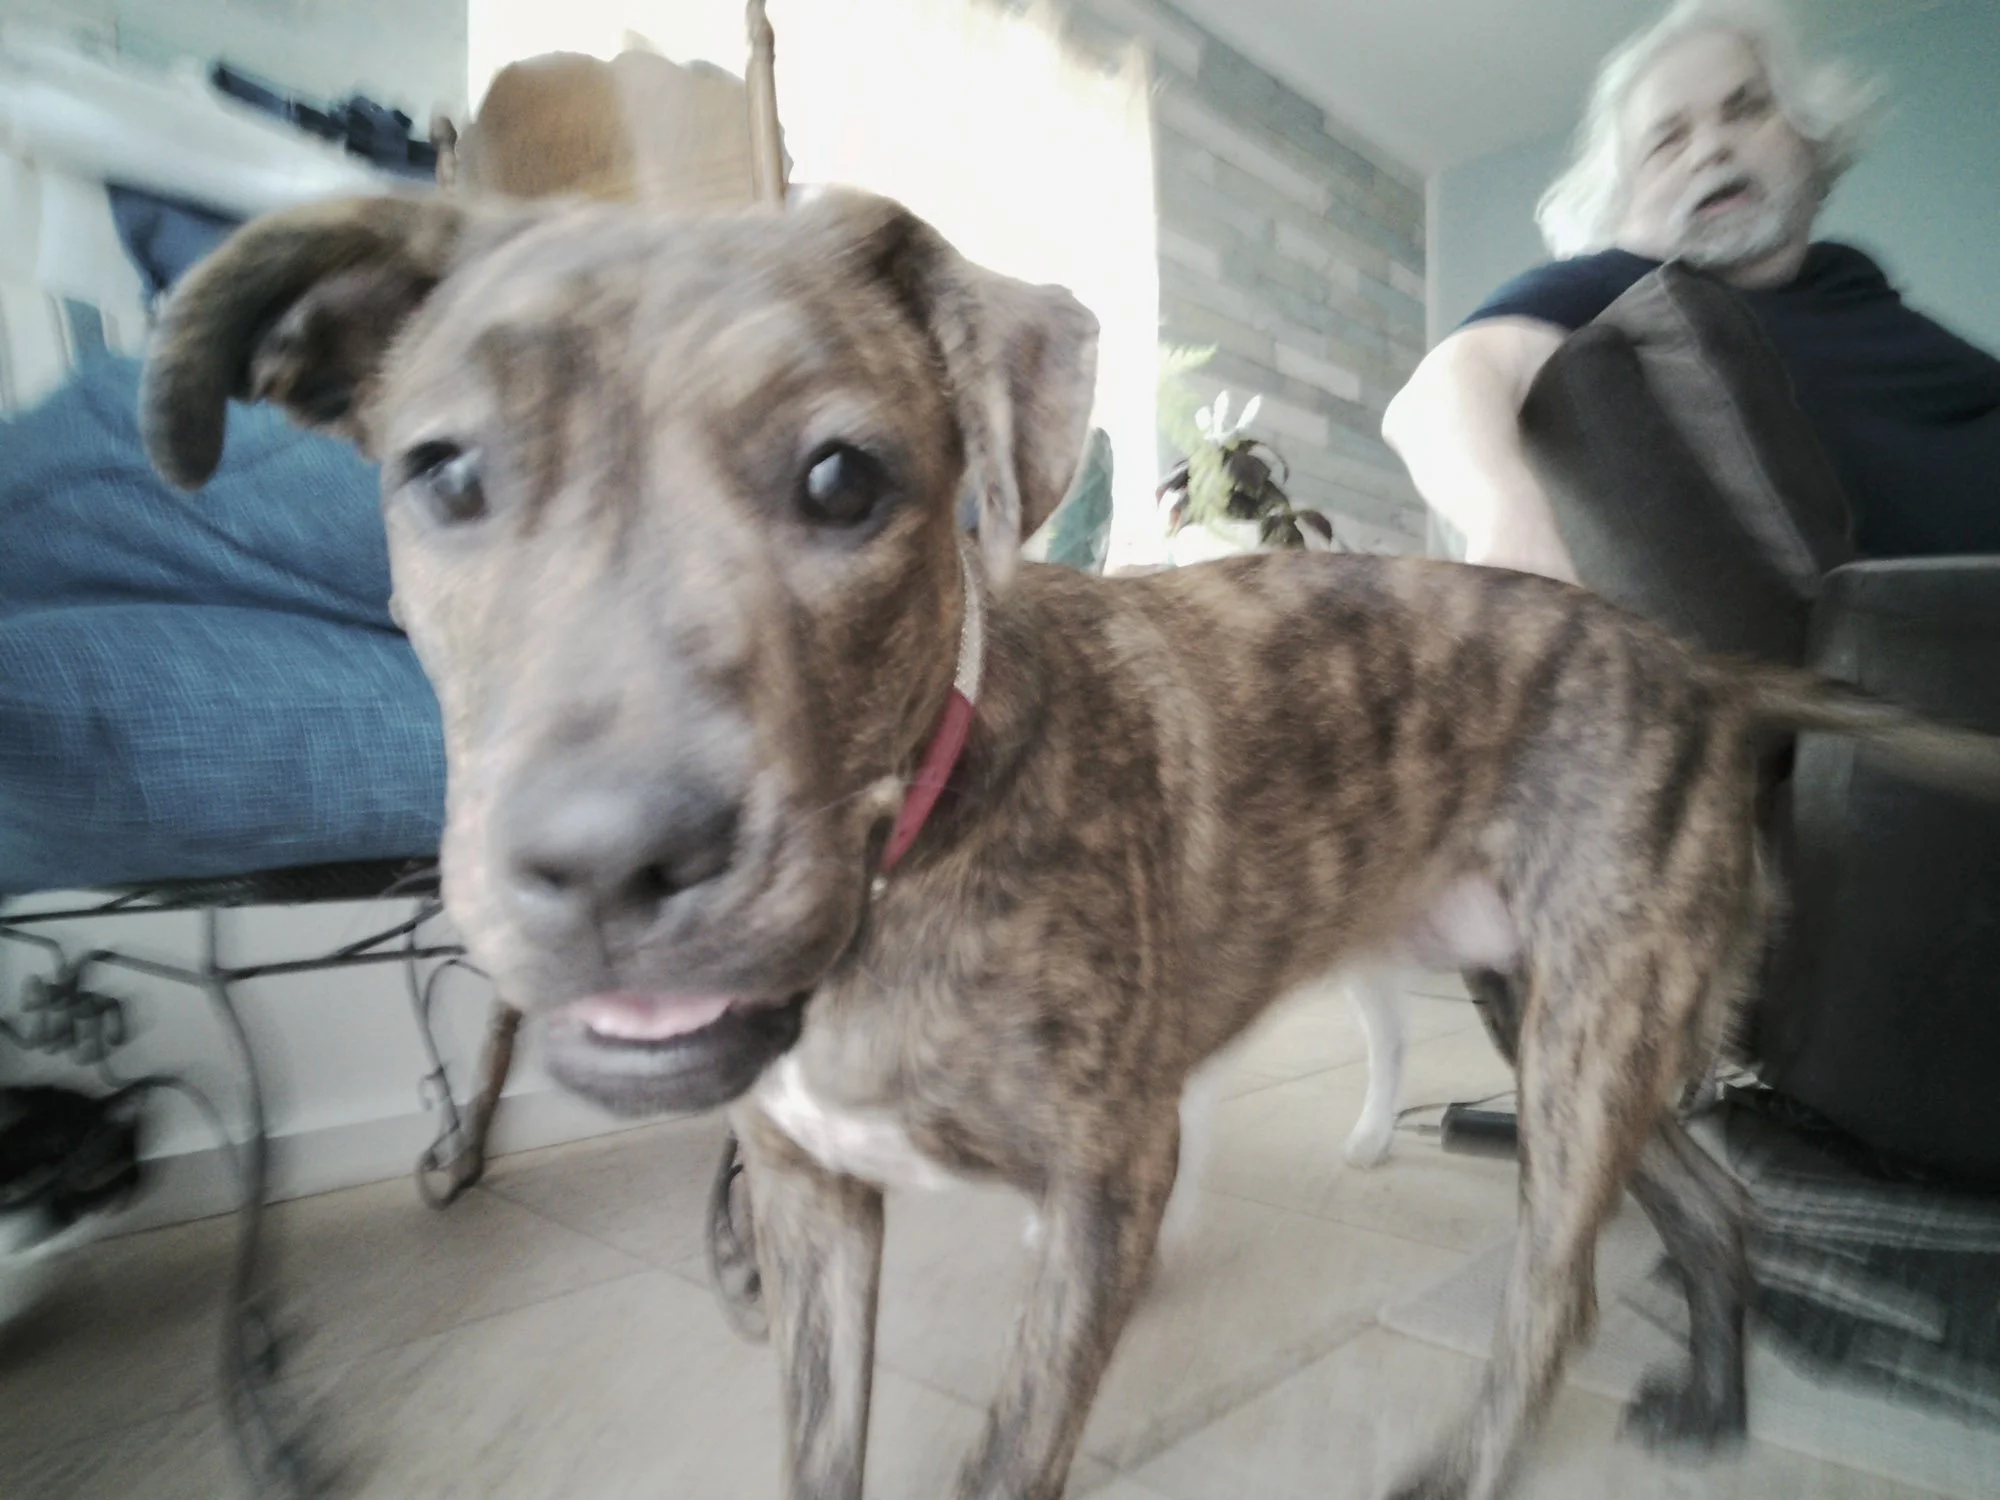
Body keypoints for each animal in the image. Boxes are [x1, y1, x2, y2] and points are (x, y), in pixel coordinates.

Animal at [139, 190, 2000, 1500]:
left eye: (846, 479)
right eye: (443, 476)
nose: (607, 870)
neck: (910, 858)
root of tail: (1693, 657)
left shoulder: (1111, 1187)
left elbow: (1005, 1450)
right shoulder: (816, 1206)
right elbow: (821, 1439)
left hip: (1590, 1029)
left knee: (1555, 1305)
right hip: (1552, 1022)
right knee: (1711, 1207)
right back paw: (1716, 1404)